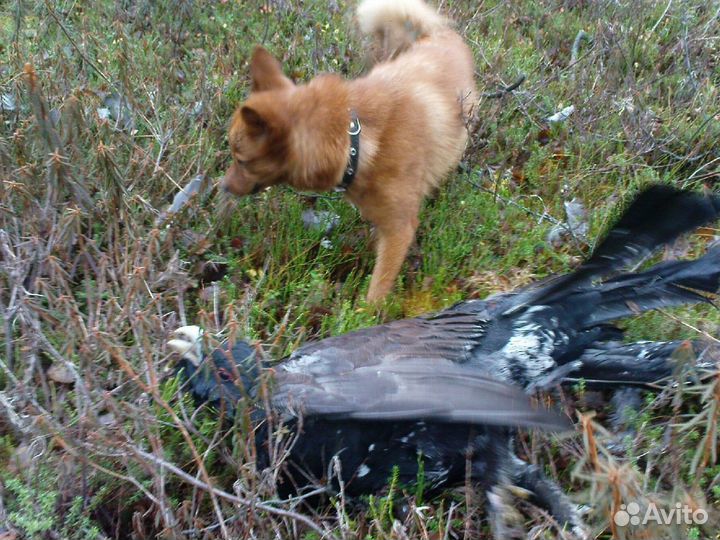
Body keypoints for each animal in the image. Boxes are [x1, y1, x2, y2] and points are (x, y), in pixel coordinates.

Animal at [222, 0, 476, 304]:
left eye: (241, 161)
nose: (222, 187)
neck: (355, 142)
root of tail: (439, 35)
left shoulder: (399, 229)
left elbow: (376, 292)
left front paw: (365, 314)